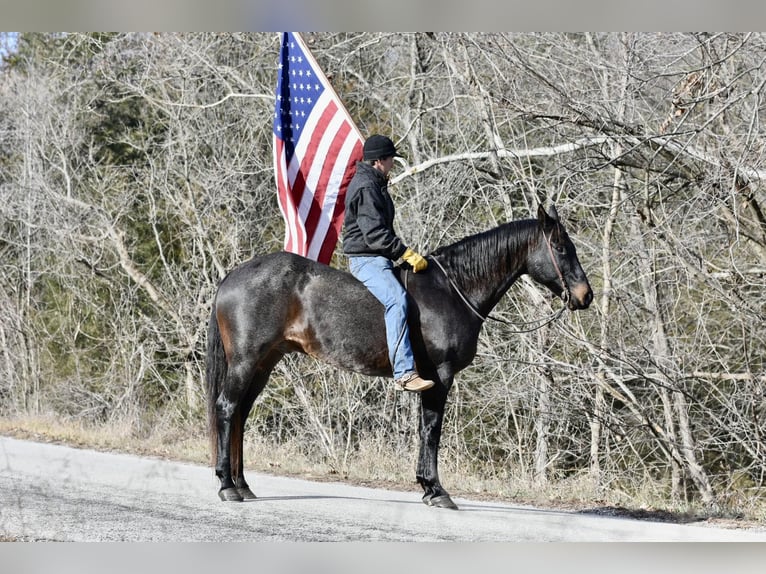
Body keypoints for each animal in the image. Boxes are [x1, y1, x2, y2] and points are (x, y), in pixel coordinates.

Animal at [204, 205, 592, 510]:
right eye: (561, 247)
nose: (585, 295)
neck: (452, 290)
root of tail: (232, 277)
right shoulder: (440, 375)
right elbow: (432, 430)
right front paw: (436, 490)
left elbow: (425, 429)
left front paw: (427, 487)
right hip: (245, 361)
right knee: (227, 408)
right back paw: (227, 486)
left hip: (264, 363)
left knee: (239, 415)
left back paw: (242, 485)